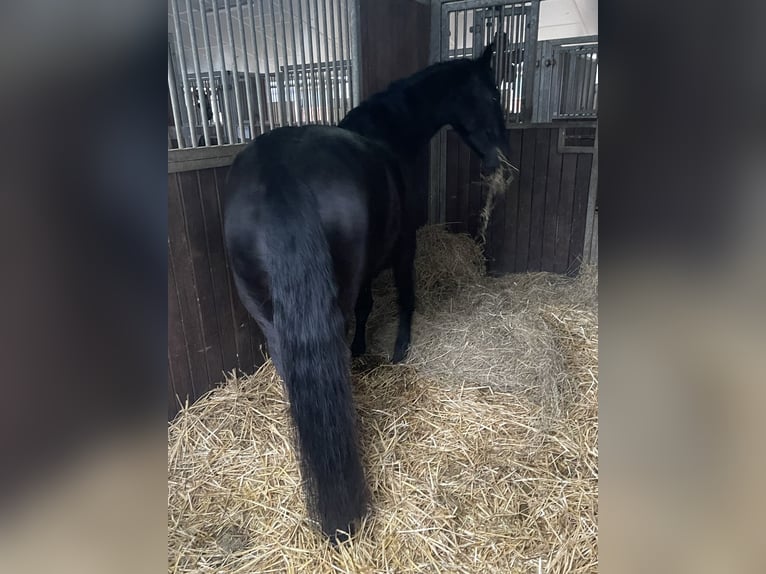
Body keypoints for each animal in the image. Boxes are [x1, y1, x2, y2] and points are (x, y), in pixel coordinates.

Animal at [223, 43, 508, 542]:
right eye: (492, 93)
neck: (387, 134)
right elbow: (395, 297)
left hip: (266, 312)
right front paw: (398, 348)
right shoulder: (404, 244)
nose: (501, 155)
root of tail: (279, 171)